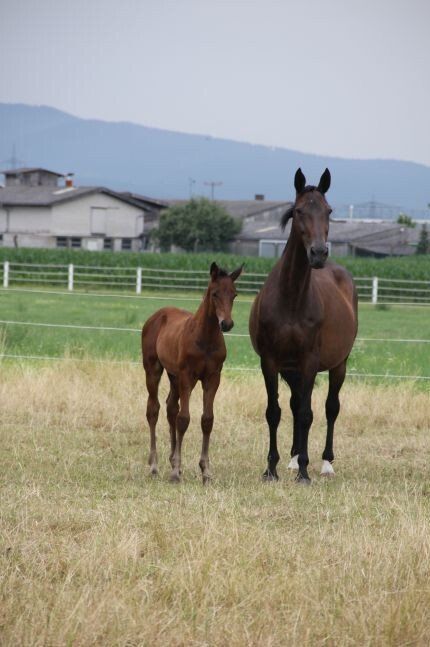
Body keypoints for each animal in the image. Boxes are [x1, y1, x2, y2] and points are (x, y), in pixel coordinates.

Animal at [142, 262, 243, 483]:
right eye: (214, 294)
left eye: (234, 294)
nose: (227, 324)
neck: (205, 338)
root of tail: (156, 316)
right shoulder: (187, 376)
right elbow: (184, 419)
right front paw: (175, 472)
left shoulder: (213, 378)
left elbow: (207, 420)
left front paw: (205, 471)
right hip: (153, 369)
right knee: (154, 409)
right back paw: (154, 465)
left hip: (174, 376)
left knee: (171, 407)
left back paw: (172, 460)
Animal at [249, 168, 358, 484]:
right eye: (299, 211)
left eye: (328, 210)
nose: (318, 253)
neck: (292, 297)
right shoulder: (271, 362)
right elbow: (275, 412)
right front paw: (271, 469)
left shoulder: (310, 360)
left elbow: (309, 414)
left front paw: (305, 473)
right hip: (291, 369)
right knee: (295, 405)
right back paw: (293, 458)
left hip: (339, 364)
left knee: (331, 407)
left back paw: (325, 463)